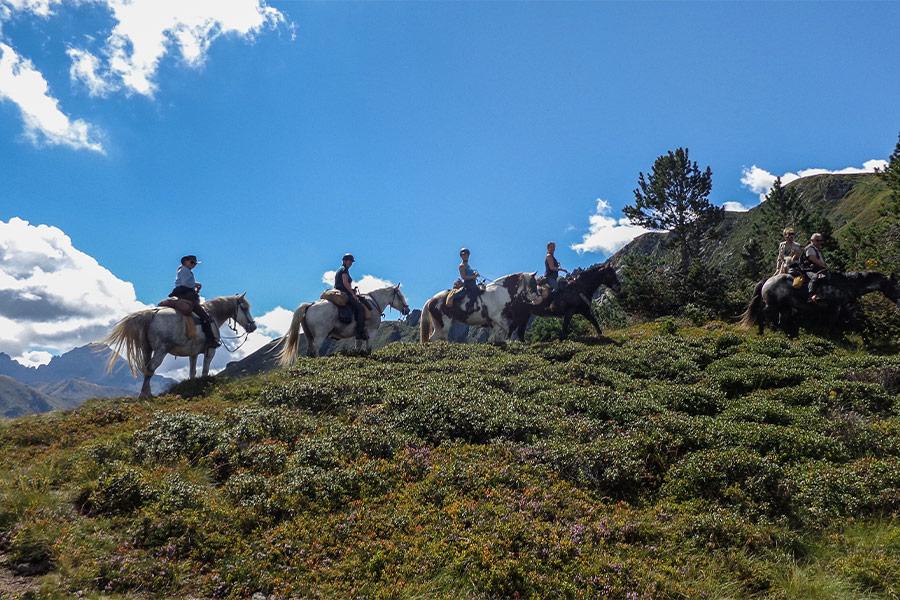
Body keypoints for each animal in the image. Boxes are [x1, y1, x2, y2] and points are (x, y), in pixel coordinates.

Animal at [103, 292, 256, 396]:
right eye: (244, 307)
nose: (253, 327)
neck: (212, 315)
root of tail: (152, 313)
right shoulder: (210, 351)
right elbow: (205, 370)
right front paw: (204, 383)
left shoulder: (193, 353)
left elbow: (192, 371)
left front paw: (193, 385)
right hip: (161, 350)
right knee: (151, 368)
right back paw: (145, 395)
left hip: (147, 349)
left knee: (146, 368)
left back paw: (147, 393)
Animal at [280, 284, 414, 364]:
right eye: (400, 295)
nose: (407, 310)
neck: (374, 304)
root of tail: (311, 304)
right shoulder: (371, 332)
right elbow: (368, 348)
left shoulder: (359, 334)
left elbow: (358, 347)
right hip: (320, 335)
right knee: (316, 349)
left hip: (309, 336)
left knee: (310, 351)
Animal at [740, 272, 896, 338]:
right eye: (894, 285)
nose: (898, 300)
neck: (845, 285)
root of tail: (766, 280)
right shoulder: (838, 307)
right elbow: (837, 322)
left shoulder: (841, 308)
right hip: (772, 305)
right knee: (762, 314)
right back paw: (761, 331)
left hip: (783, 307)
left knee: (780, 320)